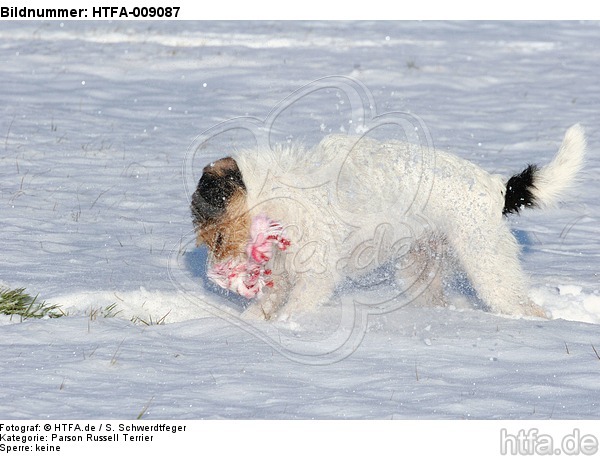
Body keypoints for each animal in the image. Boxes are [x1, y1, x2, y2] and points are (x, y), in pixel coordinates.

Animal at [192, 123, 584, 318]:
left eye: (218, 238)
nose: (215, 274)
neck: (275, 191)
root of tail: (495, 186)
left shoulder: (316, 276)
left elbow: (295, 309)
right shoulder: (285, 273)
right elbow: (267, 307)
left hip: (488, 265)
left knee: (526, 308)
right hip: (419, 269)